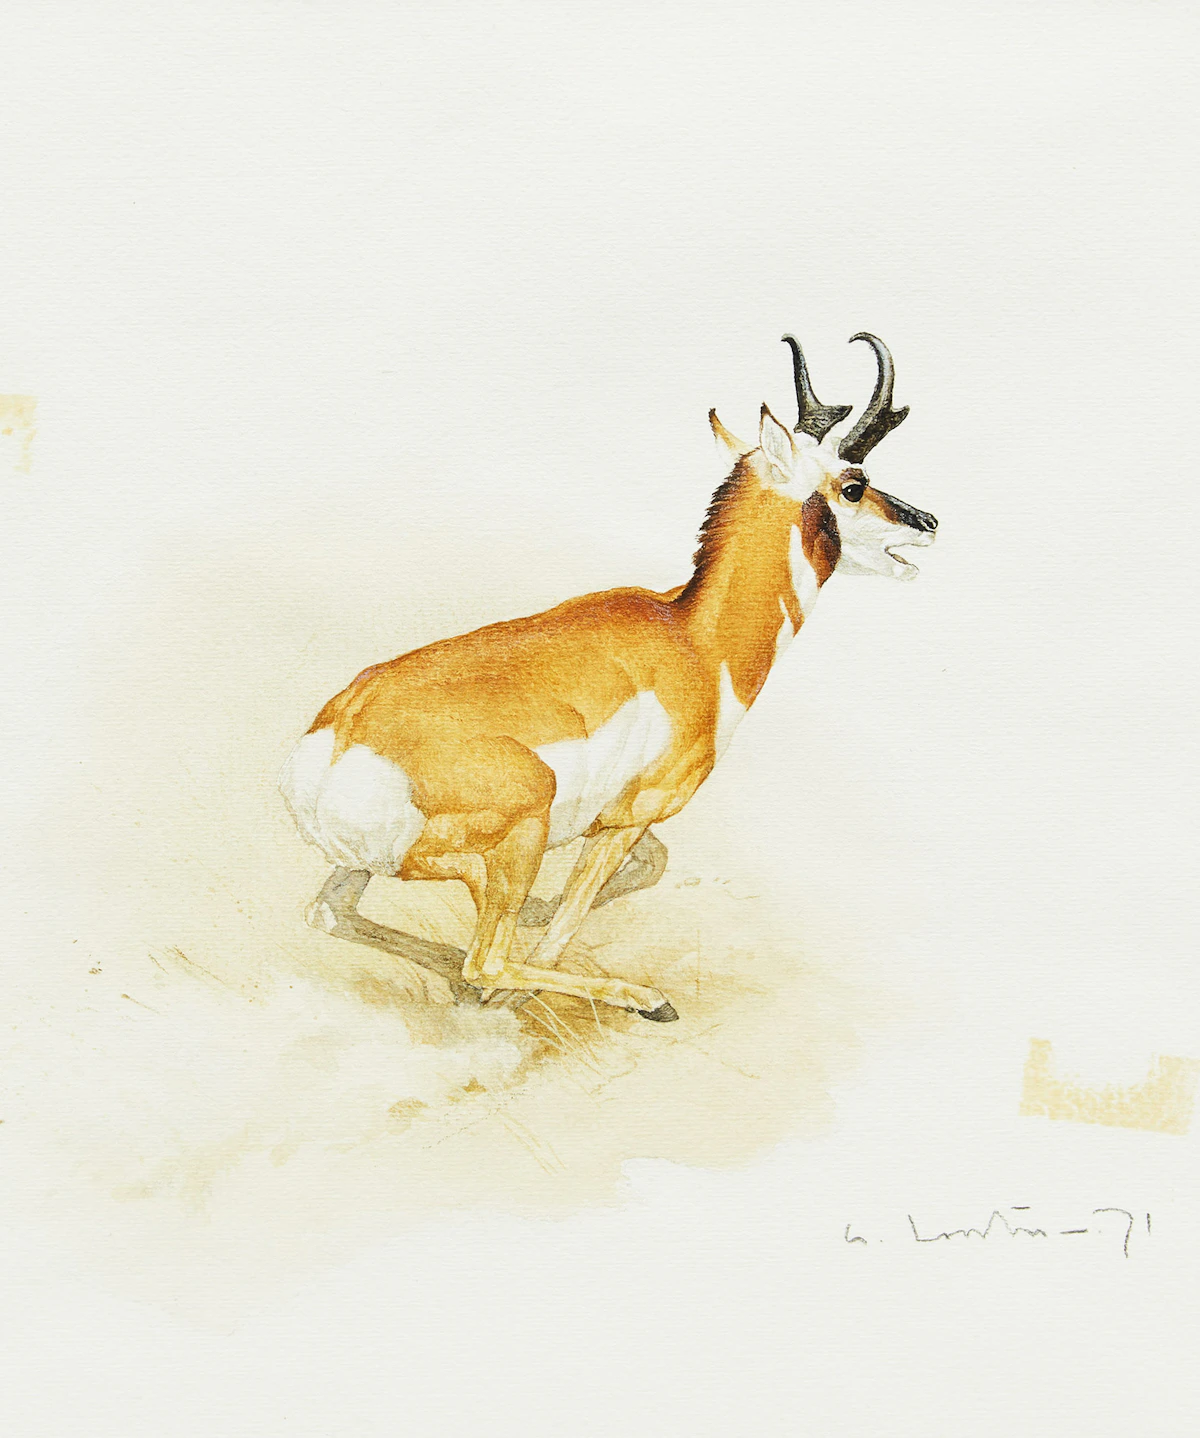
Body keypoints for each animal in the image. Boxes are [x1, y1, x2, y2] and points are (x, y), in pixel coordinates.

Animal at [280, 334, 937, 1022]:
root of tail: (337, 744)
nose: (928, 522)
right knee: (484, 957)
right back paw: (633, 996)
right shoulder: (628, 818)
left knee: (333, 913)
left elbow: (649, 867)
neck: (693, 638)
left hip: (374, 864)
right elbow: (572, 918)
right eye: (854, 485)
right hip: (524, 828)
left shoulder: (619, 824)